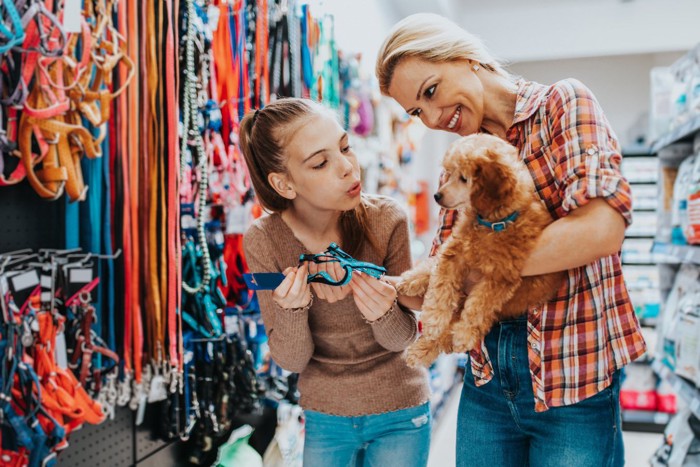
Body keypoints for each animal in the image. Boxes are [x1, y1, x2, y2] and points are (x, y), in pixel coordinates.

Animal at [396, 133, 568, 368]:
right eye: (449, 173)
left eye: (464, 178)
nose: (437, 196)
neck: (492, 223)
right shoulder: (455, 253)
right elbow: (440, 285)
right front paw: (433, 319)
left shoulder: (501, 275)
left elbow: (479, 305)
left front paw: (463, 334)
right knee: (431, 266)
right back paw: (409, 282)